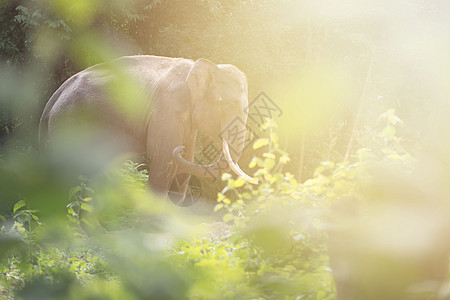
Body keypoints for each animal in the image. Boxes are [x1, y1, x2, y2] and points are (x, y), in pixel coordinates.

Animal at [38, 55, 256, 205]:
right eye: (229, 104)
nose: (179, 150)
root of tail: (52, 100)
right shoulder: (169, 107)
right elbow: (163, 159)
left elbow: (185, 165)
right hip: (70, 125)